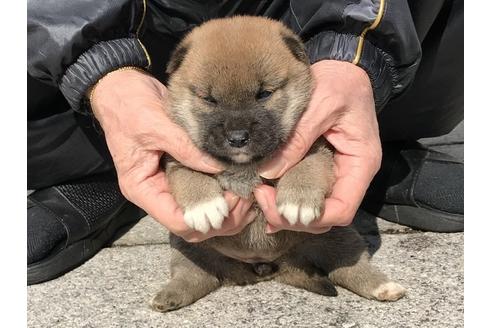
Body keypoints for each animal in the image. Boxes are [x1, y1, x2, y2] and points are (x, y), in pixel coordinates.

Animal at [152, 16, 406, 312]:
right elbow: (188, 173)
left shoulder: (317, 147)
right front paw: (204, 206)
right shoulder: (176, 157)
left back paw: (383, 287)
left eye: (264, 94)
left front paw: (298, 202)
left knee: (352, 267)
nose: (237, 138)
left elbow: (306, 166)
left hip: (338, 236)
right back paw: (169, 296)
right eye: (209, 99)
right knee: (194, 275)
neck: (246, 166)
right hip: (188, 246)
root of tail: (268, 265)